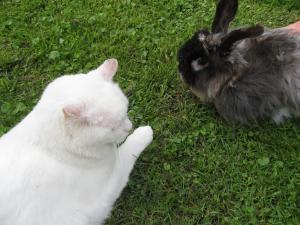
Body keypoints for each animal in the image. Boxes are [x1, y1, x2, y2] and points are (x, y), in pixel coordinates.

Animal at [0, 58, 154, 225]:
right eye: (113, 128)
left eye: (126, 112)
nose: (129, 127)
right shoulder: (104, 194)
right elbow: (128, 153)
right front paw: (145, 133)